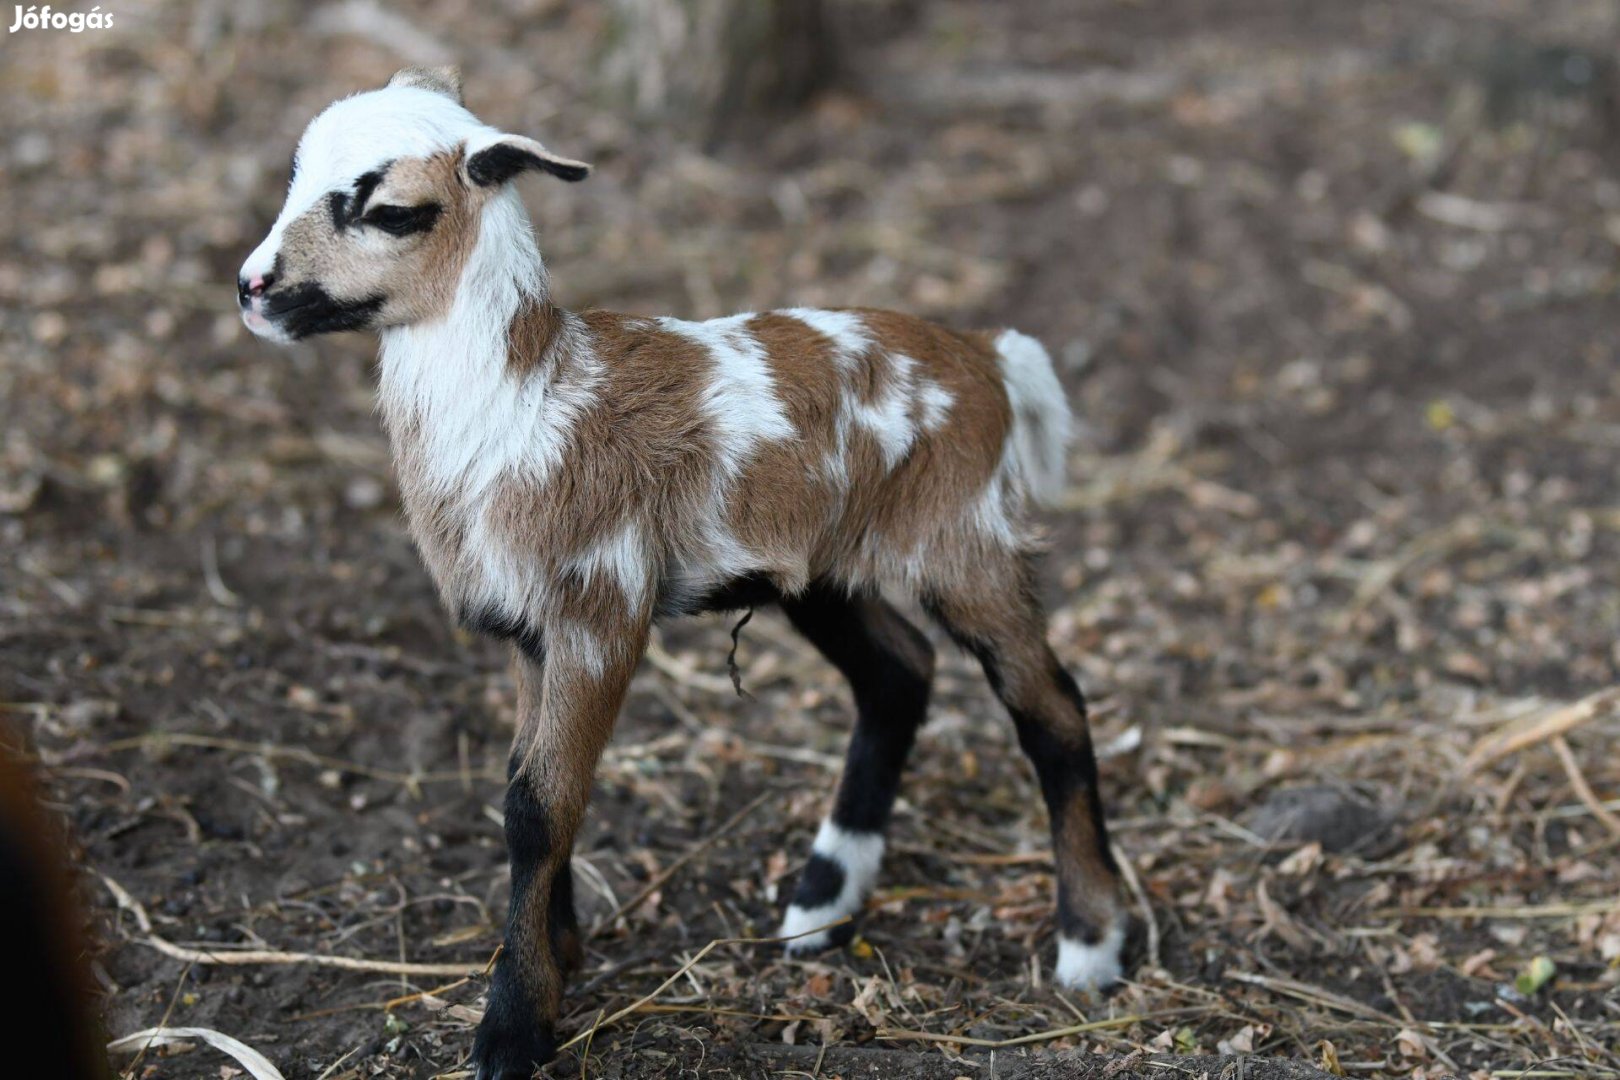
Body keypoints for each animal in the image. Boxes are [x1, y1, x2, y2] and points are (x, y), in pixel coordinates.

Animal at [236, 69, 1127, 1080]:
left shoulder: (602, 610)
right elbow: (525, 786)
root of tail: (989, 358)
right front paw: (560, 958)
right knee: (899, 672)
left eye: (390, 210)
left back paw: (1091, 945)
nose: (252, 288)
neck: (523, 404)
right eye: (296, 174)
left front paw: (513, 1027)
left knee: (1051, 707)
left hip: (963, 541)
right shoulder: (530, 631)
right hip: (822, 569)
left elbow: (539, 804)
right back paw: (821, 903)